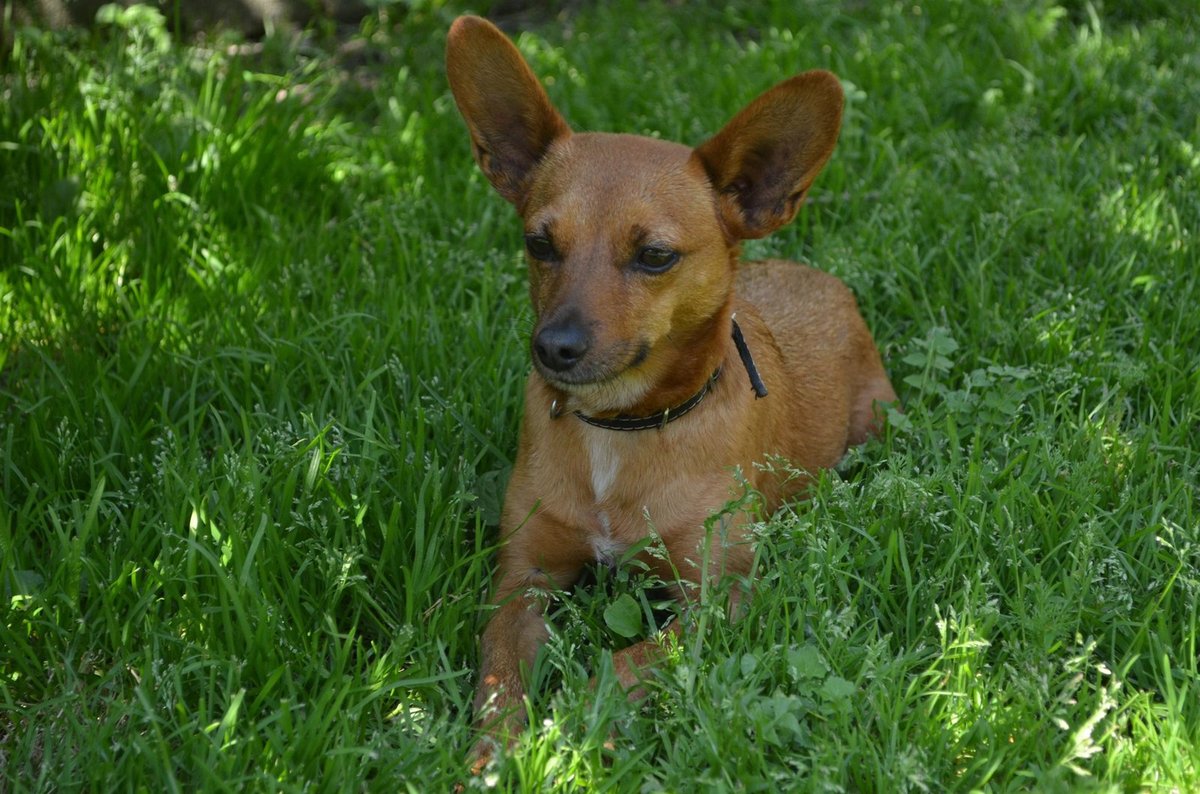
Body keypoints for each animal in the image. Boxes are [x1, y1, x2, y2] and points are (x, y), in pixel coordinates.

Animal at [446, 14, 897, 772]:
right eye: (539, 243)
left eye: (655, 256)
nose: (554, 348)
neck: (620, 428)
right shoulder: (521, 578)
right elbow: (499, 671)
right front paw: (493, 751)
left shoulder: (717, 599)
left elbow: (621, 664)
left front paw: (566, 734)